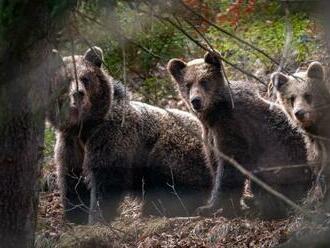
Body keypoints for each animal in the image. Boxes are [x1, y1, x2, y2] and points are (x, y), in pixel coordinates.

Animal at [47, 45, 213, 224]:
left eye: (85, 78)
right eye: (66, 79)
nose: (78, 93)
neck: (84, 127)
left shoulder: (111, 137)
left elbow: (107, 179)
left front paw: (97, 218)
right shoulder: (70, 143)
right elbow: (72, 181)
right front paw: (74, 217)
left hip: (175, 151)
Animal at [168, 51, 312, 218]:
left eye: (204, 81)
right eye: (188, 84)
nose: (196, 101)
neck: (214, 114)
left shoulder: (233, 128)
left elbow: (229, 168)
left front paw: (211, 206)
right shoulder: (210, 136)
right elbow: (214, 164)